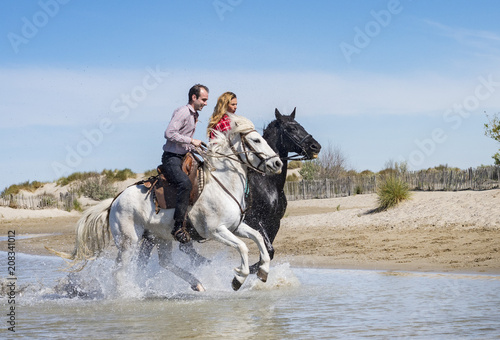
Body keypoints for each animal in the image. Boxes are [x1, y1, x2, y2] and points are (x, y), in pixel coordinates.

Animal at [52, 114, 284, 292]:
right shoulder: (216, 231)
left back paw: (196, 283)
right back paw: (126, 294)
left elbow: (258, 239)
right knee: (120, 272)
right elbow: (243, 247)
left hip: (159, 238)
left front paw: (263, 271)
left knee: (164, 262)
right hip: (129, 242)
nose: (277, 163)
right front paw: (238, 279)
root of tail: (115, 201)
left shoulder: (236, 226)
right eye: (256, 140)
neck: (222, 184)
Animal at [139, 108, 322, 270]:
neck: (266, 183)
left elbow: (267, 249)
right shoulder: (254, 220)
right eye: (291, 128)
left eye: (300, 125)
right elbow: (268, 249)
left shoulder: (274, 222)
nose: (315, 146)